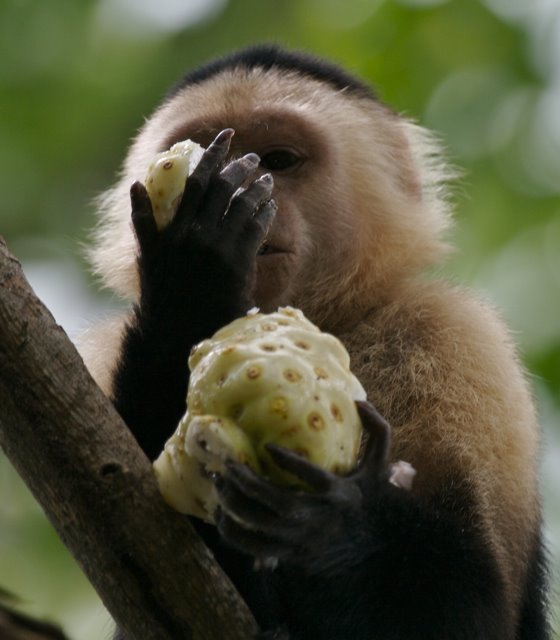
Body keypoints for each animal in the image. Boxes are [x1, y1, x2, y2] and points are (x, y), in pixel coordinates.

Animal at [80, 44, 550, 639]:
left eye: (278, 160)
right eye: (214, 147)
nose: (240, 182)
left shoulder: (456, 337)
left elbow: (471, 608)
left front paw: (332, 524)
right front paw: (193, 276)